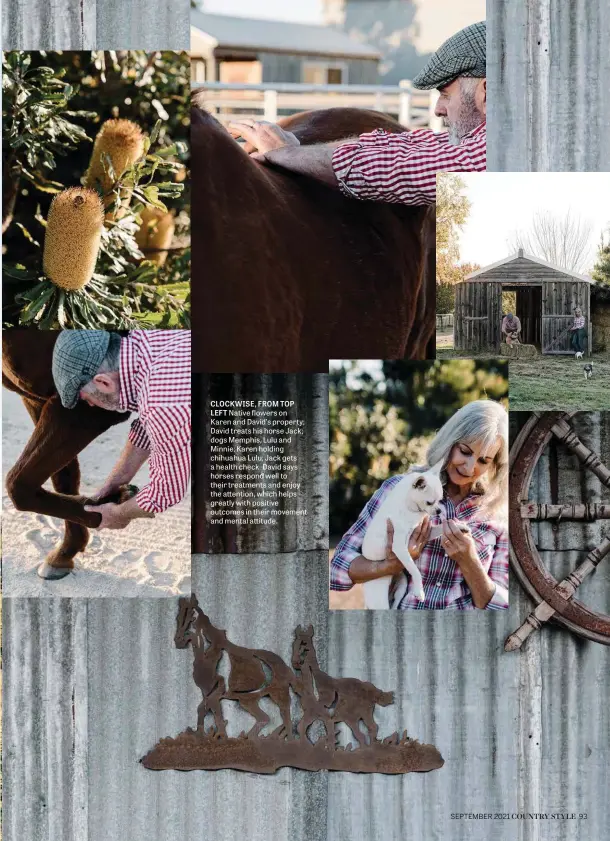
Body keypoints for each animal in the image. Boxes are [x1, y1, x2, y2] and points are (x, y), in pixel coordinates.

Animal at [2, 328, 128, 576]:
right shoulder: (36, 399)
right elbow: (62, 477)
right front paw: (65, 552)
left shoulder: (85, 409)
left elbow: (18, 485)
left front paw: (109, 505)